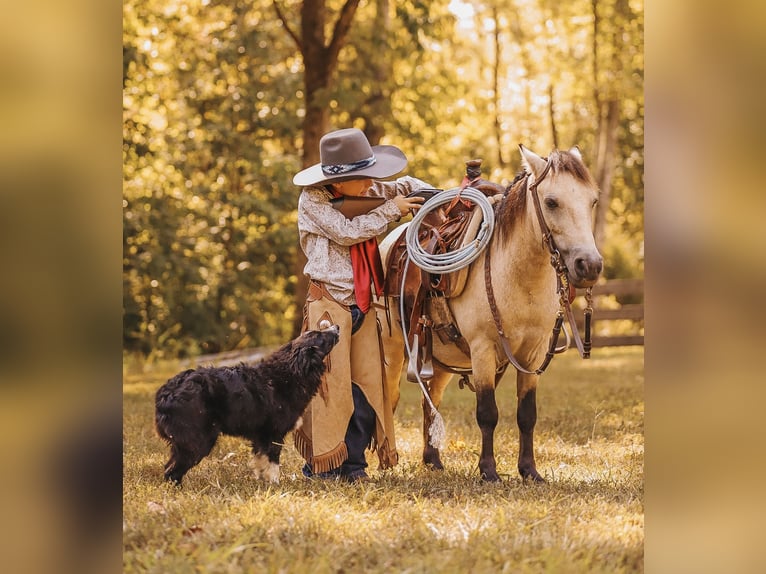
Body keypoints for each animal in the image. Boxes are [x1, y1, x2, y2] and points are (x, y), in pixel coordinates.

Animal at [156, 324, 340, 486]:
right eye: (320, 336)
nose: (337, 326)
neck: (292, 371)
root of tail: (167, 392)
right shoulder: (273, 434)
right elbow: (272, 463)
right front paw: (275, 485)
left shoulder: (260, 436)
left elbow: (260, 461)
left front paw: (262, 482)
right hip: (198, 440)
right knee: (172, 471)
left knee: (168, 468)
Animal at [376, 145, 604, 482]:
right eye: (551, 202)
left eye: (593, 200)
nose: (589, 265)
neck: (519, 277)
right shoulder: (483, 349)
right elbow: (487, 412)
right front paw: (488, 471)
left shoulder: (533, 354)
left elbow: (527, 414)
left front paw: (529, 470)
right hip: (392, 351)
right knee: (388, 399)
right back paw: (385, 459)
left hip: (440, 359)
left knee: (431, 400)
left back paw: (433, 459)